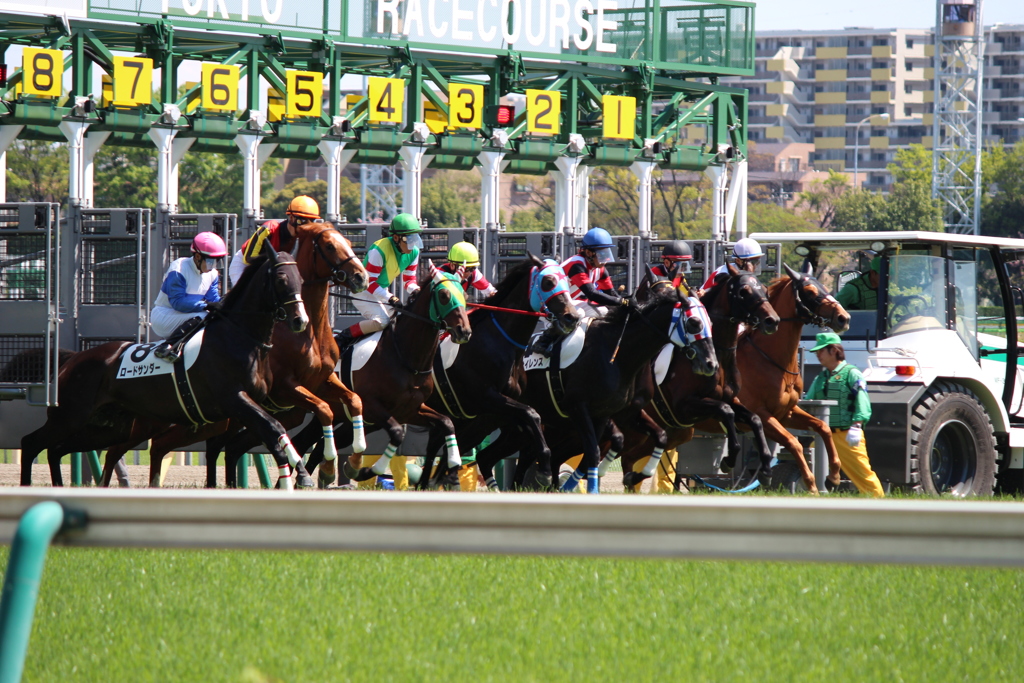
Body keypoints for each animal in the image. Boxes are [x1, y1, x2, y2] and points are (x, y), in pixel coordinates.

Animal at [18, 248, 315, 489]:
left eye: (301, 280)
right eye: (281, 280)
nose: (300, 321)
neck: (239, 336)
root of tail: (73, 360)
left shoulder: (253, 405)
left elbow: (273, 431)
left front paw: (299, 473)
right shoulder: (235, 399)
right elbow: (273, 427)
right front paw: (299, 476)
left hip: (109, 426)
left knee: (57, 449)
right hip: (71, 415)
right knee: (32, 443)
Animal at [95, 223, 368, 485]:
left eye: (348, 241)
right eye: (330, 245)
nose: (361, 277)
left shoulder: (321, 382)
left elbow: (354, 400)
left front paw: (354, 461)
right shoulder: (285, 388)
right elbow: (324, 409)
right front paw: (330, 467)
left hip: (206, 420)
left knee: (181, 446)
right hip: (161, 417)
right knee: (121, 449)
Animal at [238, 266, 471, 485]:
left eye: (464, 294)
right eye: (444, 295)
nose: (464, 331)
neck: (404, 356)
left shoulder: (410, 410)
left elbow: (446, 423)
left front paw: (452, 468)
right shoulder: (372, 407)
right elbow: (397, 432)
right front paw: (364, 470)